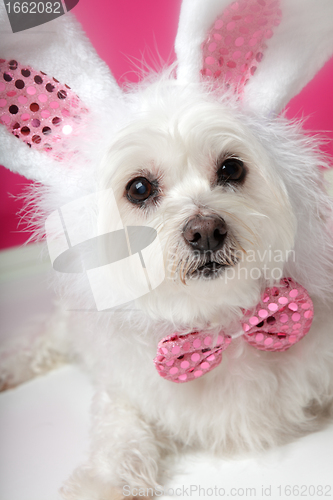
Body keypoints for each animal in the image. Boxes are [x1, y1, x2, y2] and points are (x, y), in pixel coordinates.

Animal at [0, 0, 332, 498]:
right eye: (139, 188)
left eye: (232, 168)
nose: (206, 231)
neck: (218, 326)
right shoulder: (125, 393)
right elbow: (119, 437)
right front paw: (102, 483)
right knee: (40, 339)